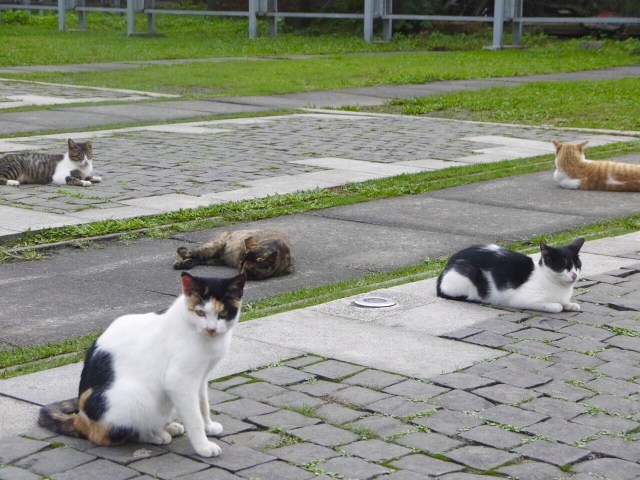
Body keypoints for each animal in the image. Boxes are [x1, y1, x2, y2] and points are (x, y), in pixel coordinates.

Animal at [38, 272, 246, 456]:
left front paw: (208, 426)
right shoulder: (180, 382)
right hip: (134, 396)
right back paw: (156, 435)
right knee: (111, 435)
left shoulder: (201, 378)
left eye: (223, 313)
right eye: (200, 312)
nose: (211, 329)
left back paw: (167, 427)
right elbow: (194, 417)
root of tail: (81, 418)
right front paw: (203, 446)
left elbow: (202, 405)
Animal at [438, 238, 584, 314]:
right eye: (563, 265)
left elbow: (565, 303)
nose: (574, 275)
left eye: (577, 265)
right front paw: (560, 305)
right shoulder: (522, 300)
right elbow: (557, 306)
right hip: (467, 275)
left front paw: (571, 305)